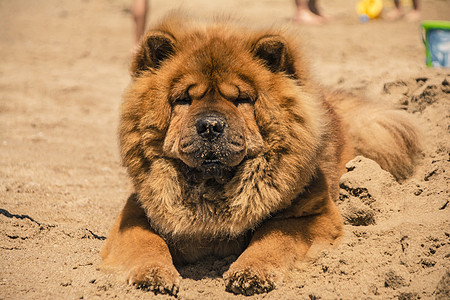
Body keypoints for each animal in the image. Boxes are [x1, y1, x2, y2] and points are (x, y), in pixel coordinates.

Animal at [102, 13, 422, 296]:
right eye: (184, 100)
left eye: (241, 99)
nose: (210, 125)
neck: (213, 189)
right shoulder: (136, 212)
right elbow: (146, 240)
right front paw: (152, 274)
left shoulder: (312, 213)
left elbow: (273, 236)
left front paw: (250, 272)